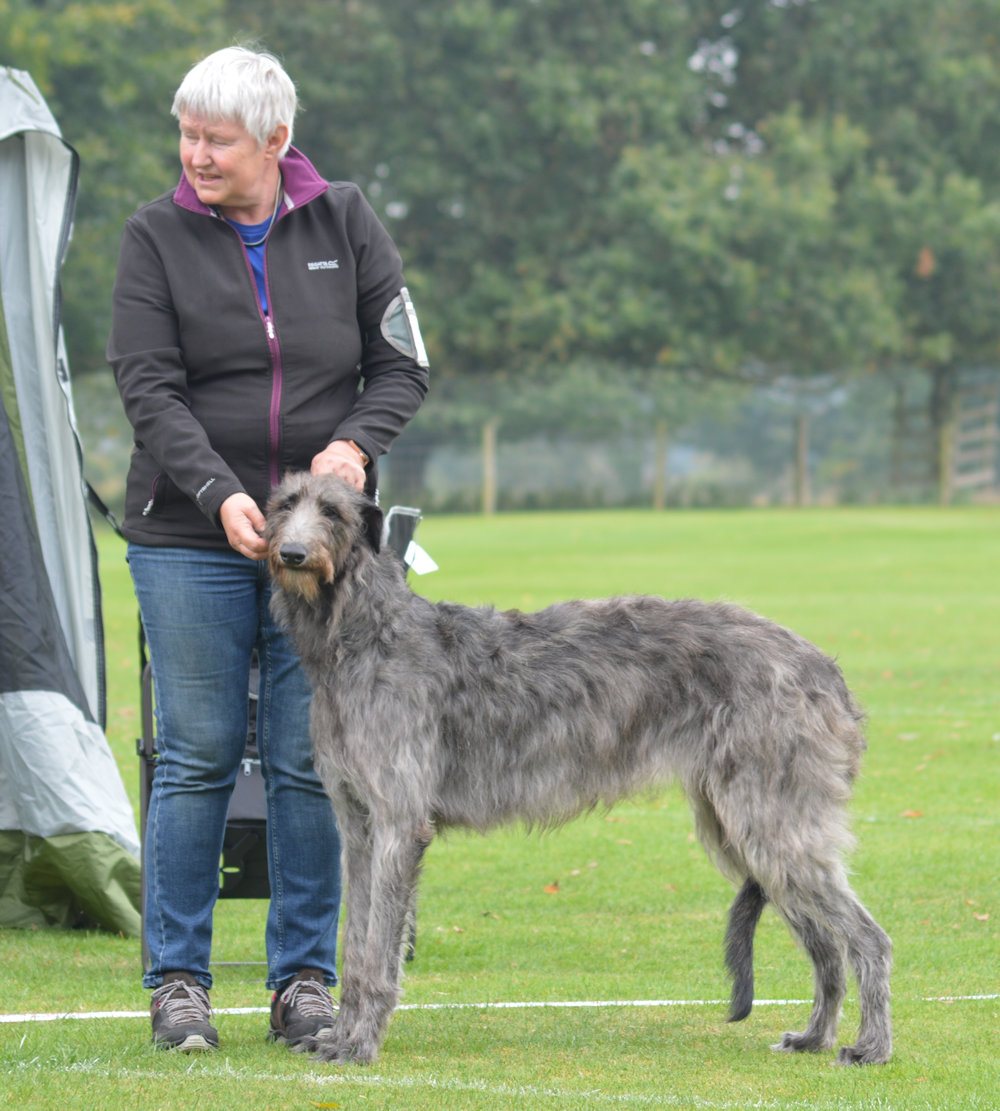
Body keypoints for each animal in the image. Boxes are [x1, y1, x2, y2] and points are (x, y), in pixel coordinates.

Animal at [263, 473, 888, 1062]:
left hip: (772, 824)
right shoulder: (357, 826)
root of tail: (824, 670)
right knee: (826, 944)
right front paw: (339, 1036)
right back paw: (814, 1037)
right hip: (746, 833)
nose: (292, 554)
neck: (364, 636)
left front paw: (361, 1045)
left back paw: (871, 1046)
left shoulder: (400, 822)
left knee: (869, 939)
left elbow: (379, 951)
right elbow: (355, 942)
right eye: (283, 505)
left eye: (333, 512)